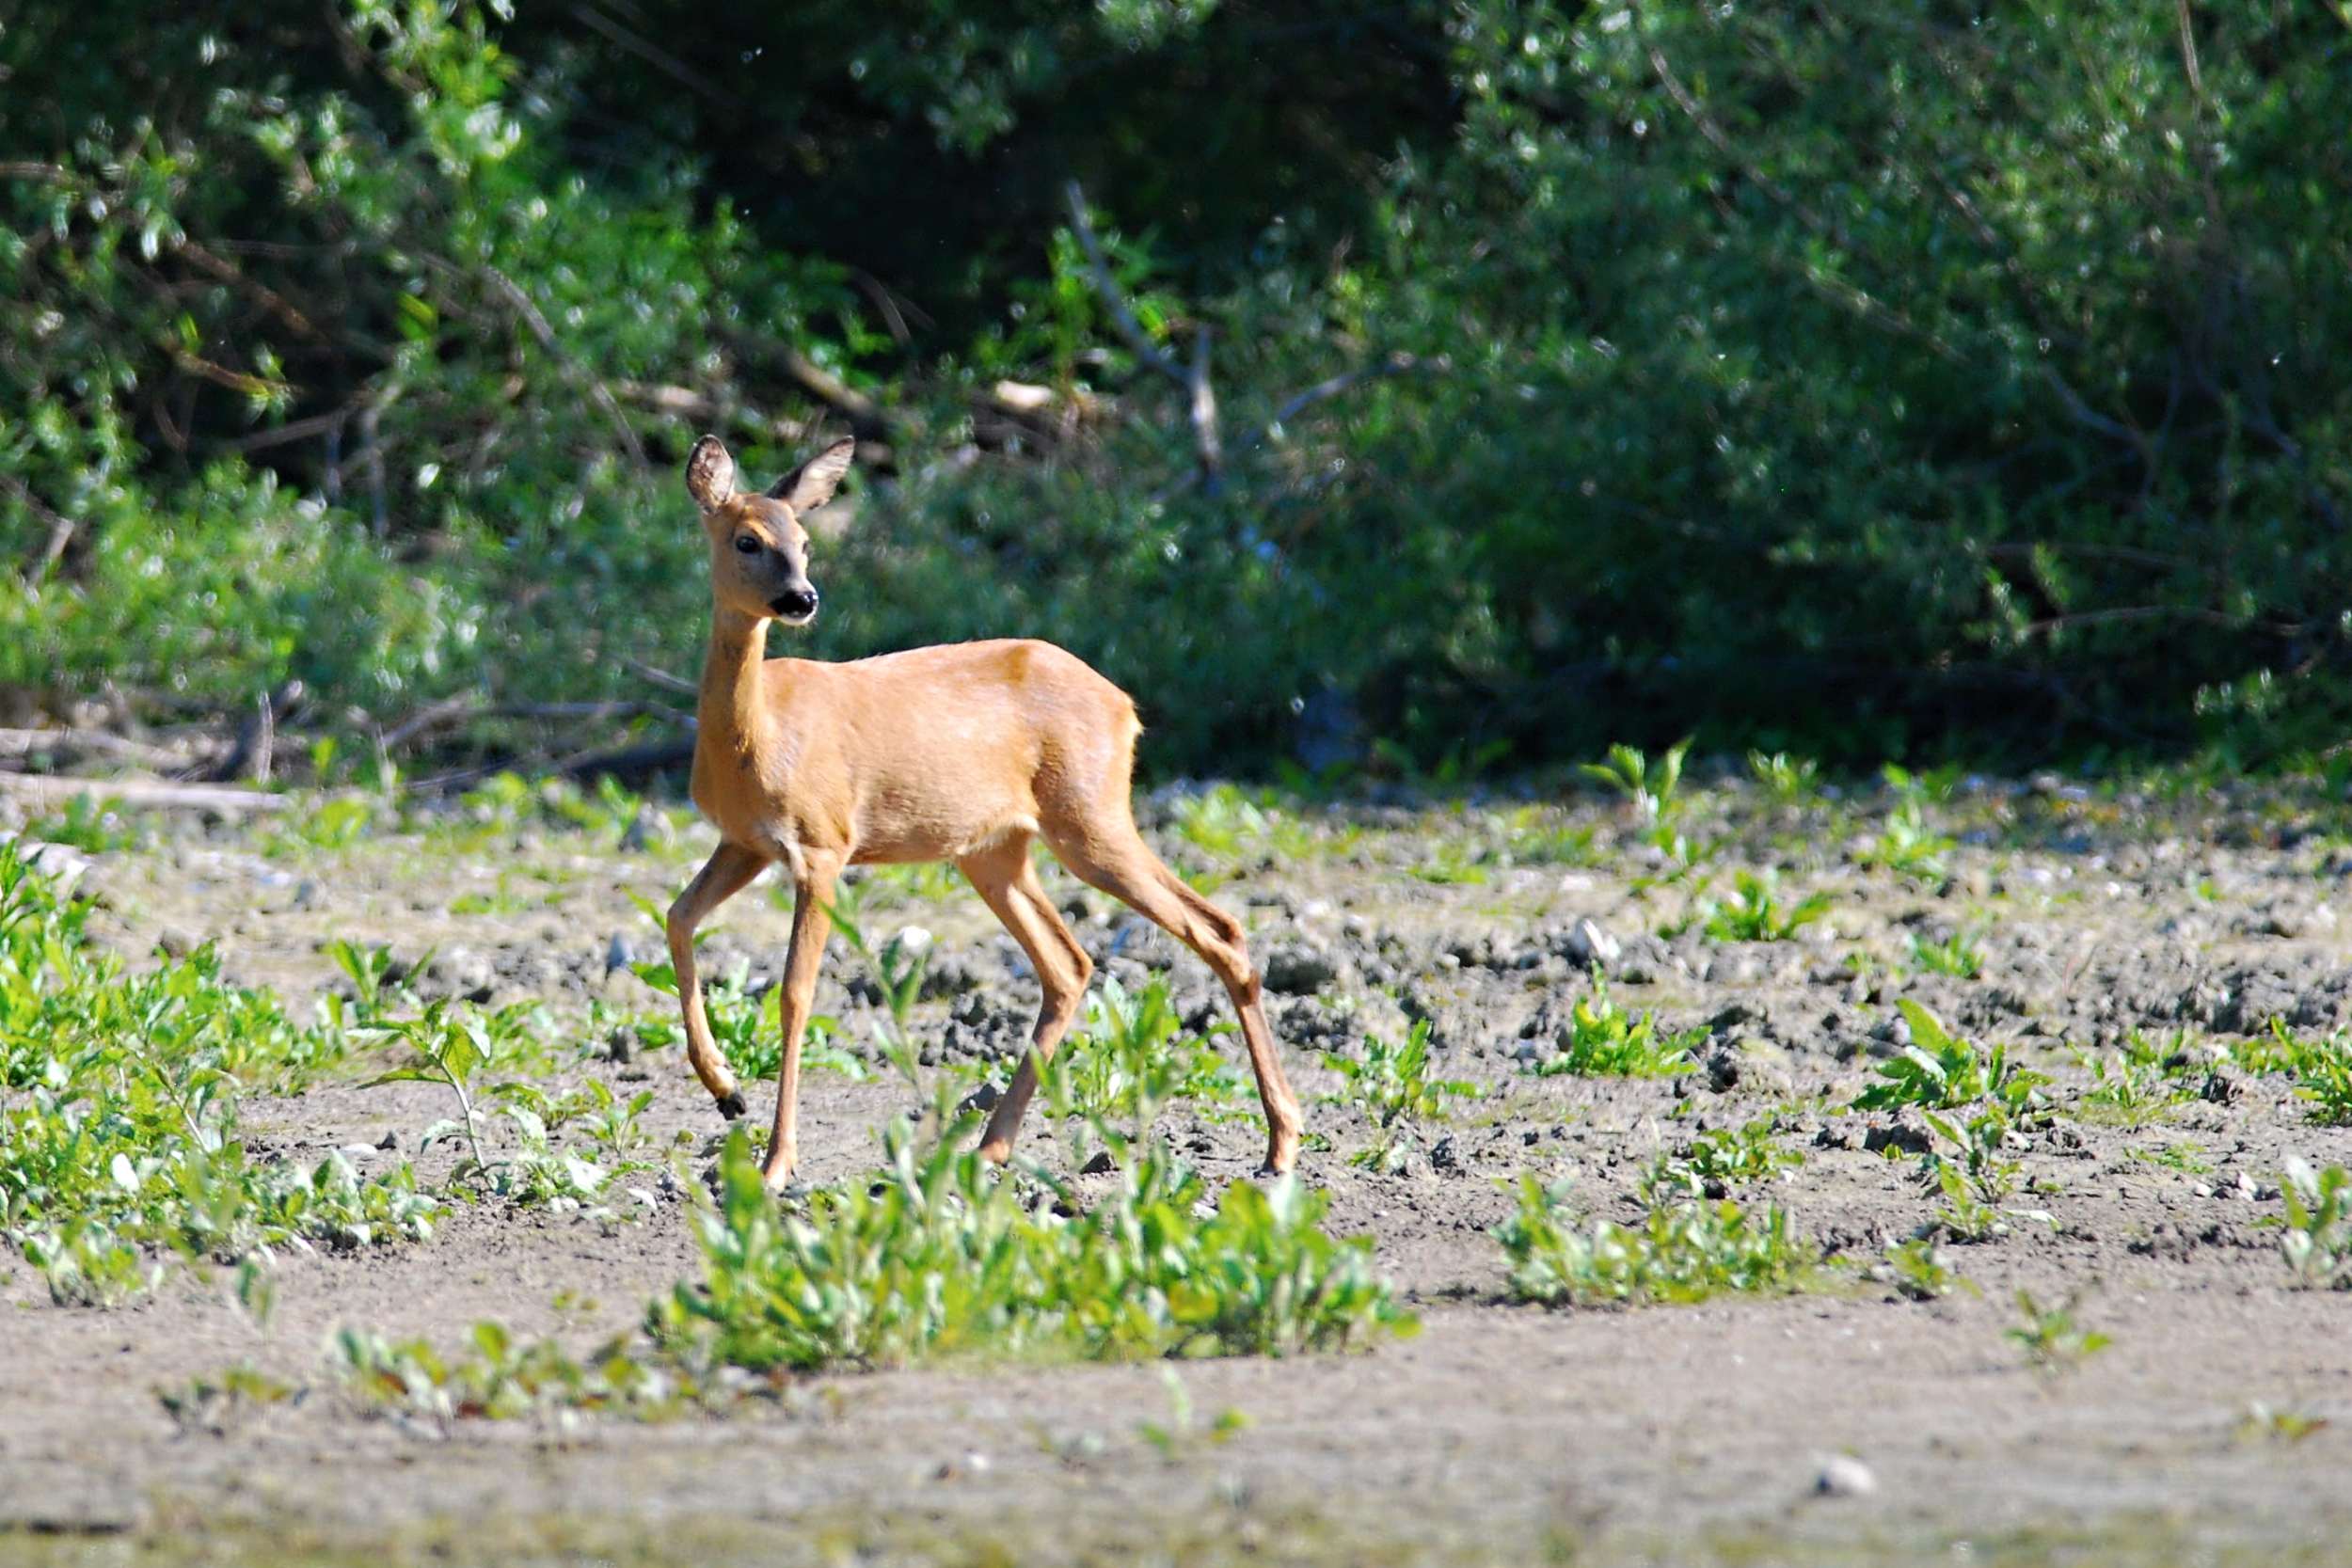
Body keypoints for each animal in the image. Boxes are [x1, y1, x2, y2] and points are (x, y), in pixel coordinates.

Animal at [673, 432, 1317, 1189]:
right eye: (747, 539)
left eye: (804, 540)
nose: (801, 597)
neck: (757, 739)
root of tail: (1125, 706)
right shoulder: (746, 842)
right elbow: (678, 918)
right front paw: (726, 1091)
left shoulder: (823, 844)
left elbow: (794, 994)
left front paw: (775, 1163)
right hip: (996, 850)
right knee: (1070, 963)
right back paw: (991, 1146)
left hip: (1089, 818)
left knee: (1216, 929)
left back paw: (1281, 1142)